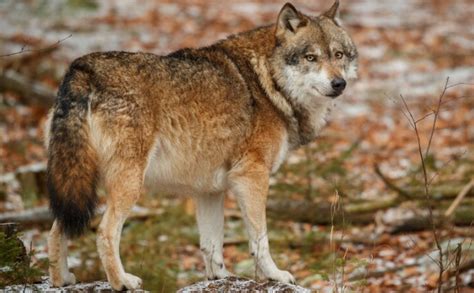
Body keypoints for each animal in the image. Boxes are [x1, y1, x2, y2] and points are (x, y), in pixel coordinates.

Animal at [45, 1, 356, 290]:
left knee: (57, 227)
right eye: (311, 57)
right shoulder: (251, 177)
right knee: (104, 232)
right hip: (128, 184)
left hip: (78, 179)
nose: (338, 83)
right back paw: (121, 281)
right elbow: (260, 239)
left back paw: (62, 280)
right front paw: (275, 275)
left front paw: (220, 278)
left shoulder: (209, 190)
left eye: (338, 54)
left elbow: (211, 244)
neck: (269, 82)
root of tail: (82, 68)